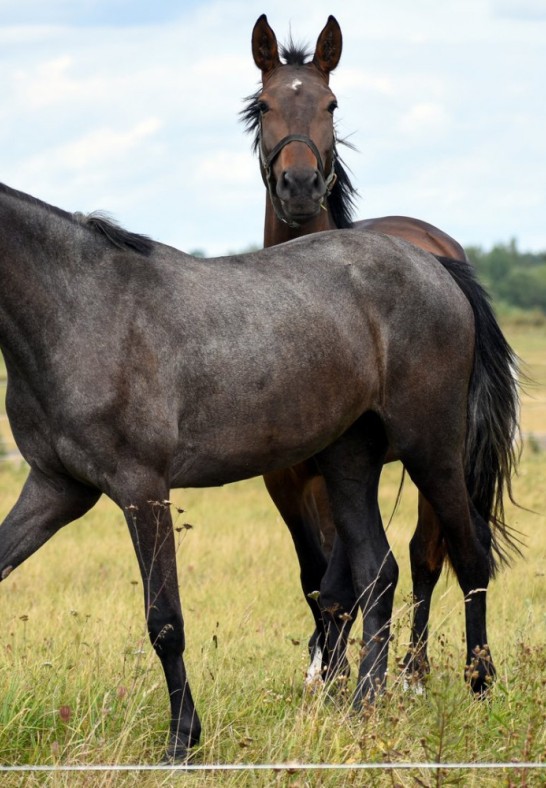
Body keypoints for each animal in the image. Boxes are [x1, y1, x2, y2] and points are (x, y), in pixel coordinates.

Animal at [0, 182, 516, 760]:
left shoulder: (141, 488)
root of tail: (436, 266)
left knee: (467, 554)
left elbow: (165, 622)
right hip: (350, 462)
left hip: (433, 450)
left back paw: (478, 685)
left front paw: (183, 741)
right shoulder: (57, 488)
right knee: (378, 573)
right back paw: (363, 705)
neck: (79, 308)